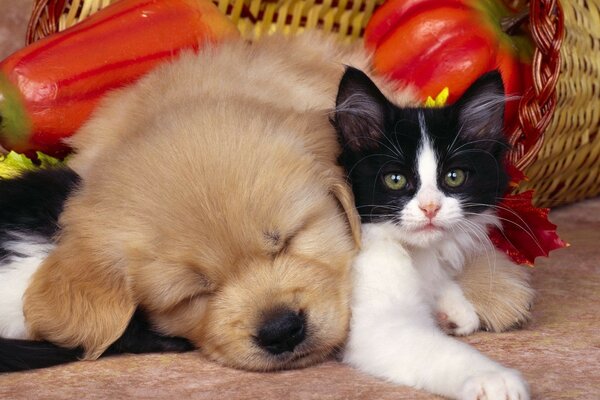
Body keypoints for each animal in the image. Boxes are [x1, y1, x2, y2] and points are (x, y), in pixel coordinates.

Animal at [336, 69, 528, 400]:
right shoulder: (378, 322)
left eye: (454, 177)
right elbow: (441, 351)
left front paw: (453, 311)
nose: (430, 208)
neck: (412, 252)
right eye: (395, 179)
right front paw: (493, 379)